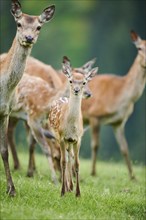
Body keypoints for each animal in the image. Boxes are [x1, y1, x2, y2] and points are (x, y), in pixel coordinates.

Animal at [0, 0, 55, 196]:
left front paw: (11, 190)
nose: (29, 37)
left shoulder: (5, 112)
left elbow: (4, 150)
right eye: (18, 23)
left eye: (39, 26)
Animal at [47, 55, 98, 197]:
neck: (71, 127)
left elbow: (77, 163)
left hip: (70, 142)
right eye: (70, 80)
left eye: (84, 82)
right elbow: (63, 162)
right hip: (57, 137)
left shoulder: (78, 138)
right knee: (65, 158)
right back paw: (67, 186)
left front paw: (78, 193)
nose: (76, 90)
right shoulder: (62, 137)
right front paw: (62, 191)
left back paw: (71, 186)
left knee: (70, 157)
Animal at [81, 30, 145, 180]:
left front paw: (133, 177)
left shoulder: (118, 122)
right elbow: (95, 145)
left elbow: (124, 148)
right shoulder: (94, 114)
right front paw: (93, 172)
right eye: (139, 48)